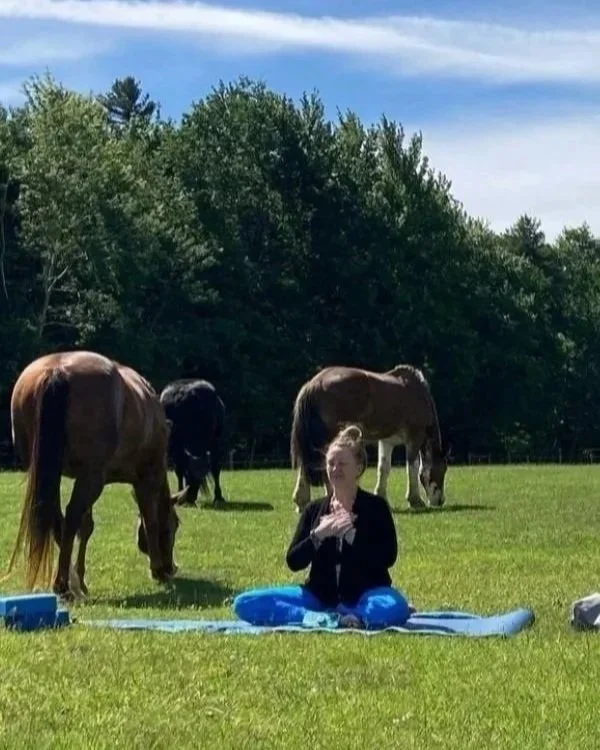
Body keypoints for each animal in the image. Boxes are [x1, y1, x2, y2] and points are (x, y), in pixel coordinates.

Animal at [5, 350, 182, 600]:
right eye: (175, 526)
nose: (171, 568)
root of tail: (57, 370)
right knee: (70, 518)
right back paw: (62, 585)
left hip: (53, 475)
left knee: (59, 521)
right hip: (90, 478)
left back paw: (68, 581)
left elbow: (86, 527)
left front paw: (81, 579)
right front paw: (157, 569)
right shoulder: (145, 478)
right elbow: (151, 521)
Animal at [290, 365, 449, 512]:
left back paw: (301, 502)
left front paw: (381, 495)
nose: (440, 501)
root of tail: (314, 383)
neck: (416, 393)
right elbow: (413, 467)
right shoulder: (415, 436)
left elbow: (383, 468)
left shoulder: (387, 441)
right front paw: (415, 500)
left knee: (304, 465)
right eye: (443, 470)